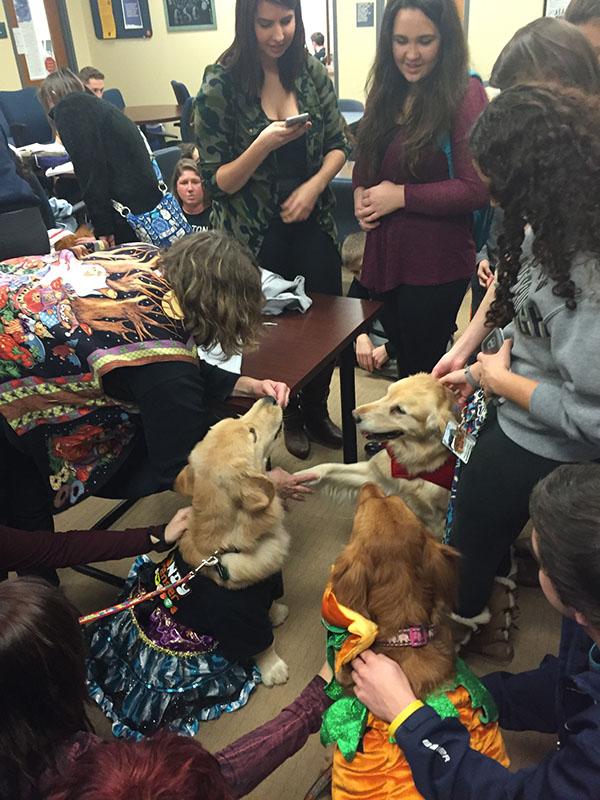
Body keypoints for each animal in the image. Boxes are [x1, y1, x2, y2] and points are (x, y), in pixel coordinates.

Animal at [175, 396, 292, 684]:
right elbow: (264, 645)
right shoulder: (241, 622)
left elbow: (271, 605)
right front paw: (273, 669)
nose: (270, 397)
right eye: (252, 433)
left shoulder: (268, 587)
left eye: (236, 418)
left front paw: (277, 614)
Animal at [298, 374, 458, 536]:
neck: (411, 457)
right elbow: (328, 468)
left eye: (399, 410)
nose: (354, 415)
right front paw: (300, 477)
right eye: (387, 393)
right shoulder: (374, 475)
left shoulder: (437, 521)